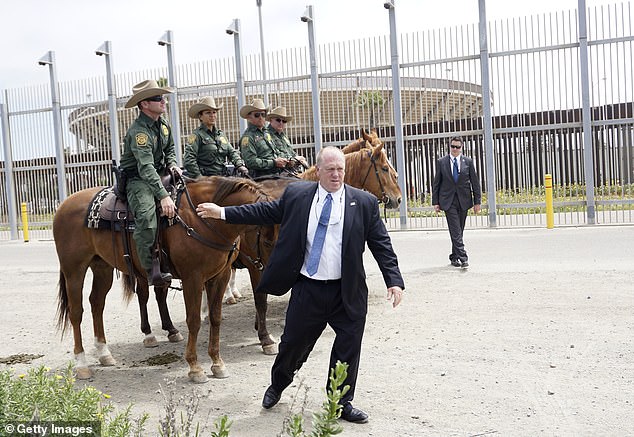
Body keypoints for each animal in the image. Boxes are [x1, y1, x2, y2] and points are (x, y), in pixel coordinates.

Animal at [54, 175, 270, 380]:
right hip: (74, 270)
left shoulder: (219, 276)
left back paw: (104, 353)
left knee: (97, 304)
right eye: (267, 239)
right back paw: (82, 364)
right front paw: (195, 367)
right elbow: (194, 321)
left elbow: (215, 318)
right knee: (76, 312)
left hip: (102, 267)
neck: (203, 220)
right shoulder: (193, 278)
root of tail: (65, 204)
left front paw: (217, 363)